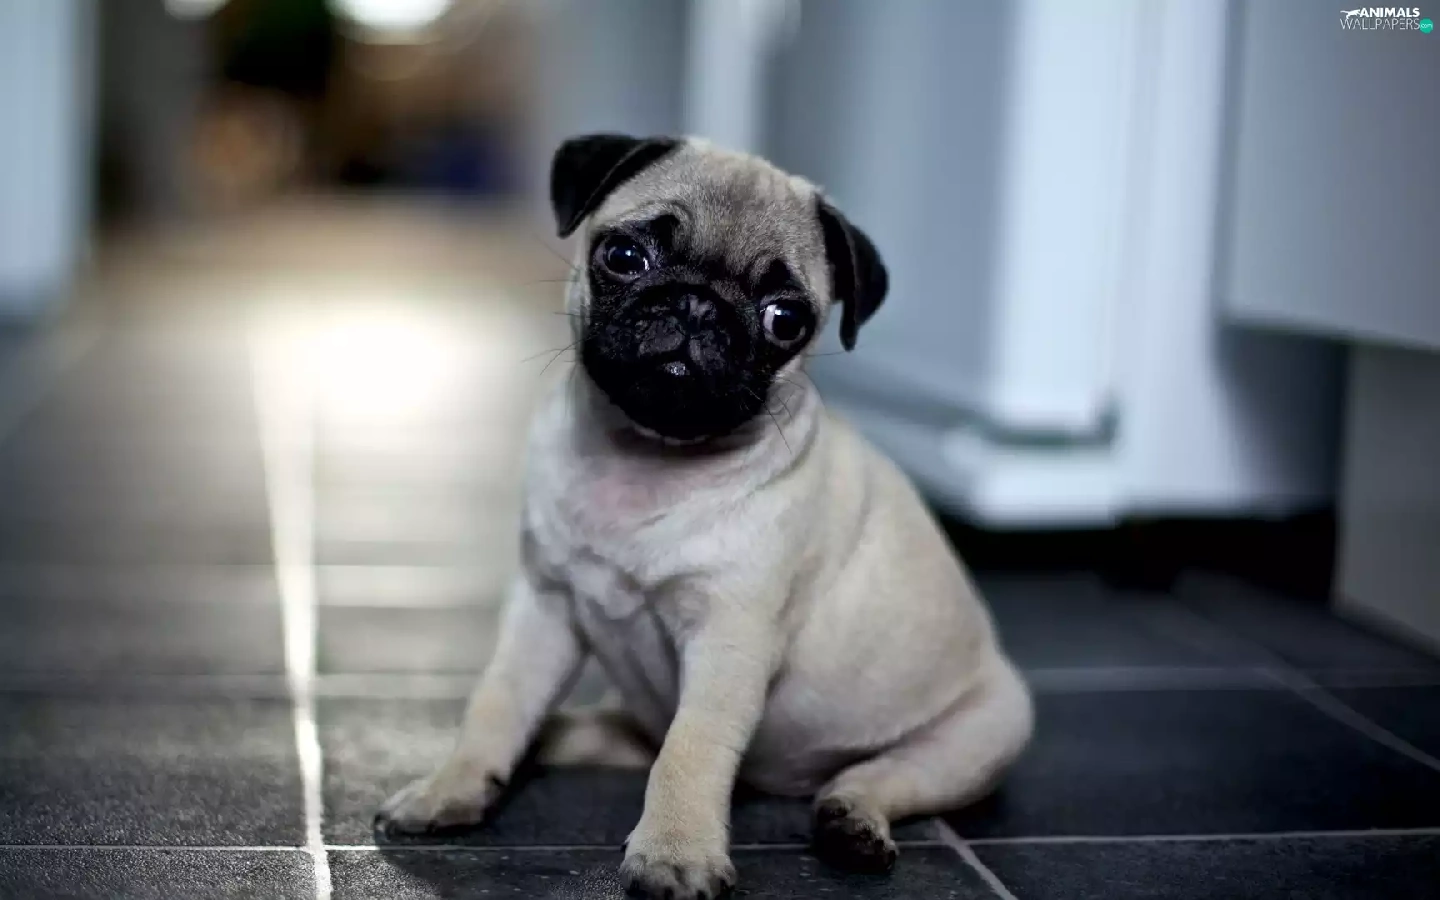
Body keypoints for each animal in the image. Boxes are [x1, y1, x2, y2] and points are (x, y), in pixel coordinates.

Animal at [375, 134, 1034, 899]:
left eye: (785, 318)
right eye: (624, 256)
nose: (696, 306)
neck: (644, 456)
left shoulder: (729, 641)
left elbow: (690, 752)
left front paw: (674, 854)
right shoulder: (544, 610)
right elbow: (498, 703)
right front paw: (450, 788)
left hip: (981, 738)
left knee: (877, 775)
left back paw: (853, 822)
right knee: (613, 732)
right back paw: (548, 741)